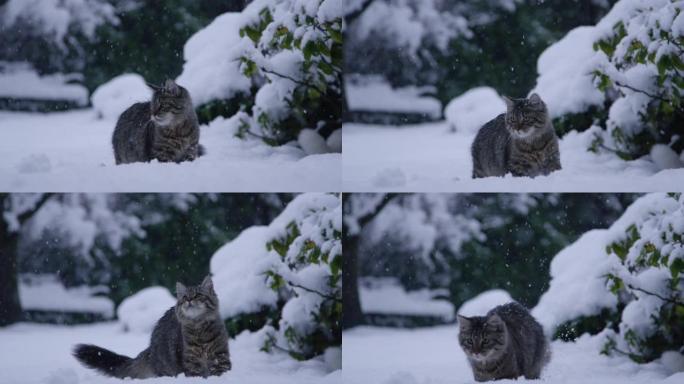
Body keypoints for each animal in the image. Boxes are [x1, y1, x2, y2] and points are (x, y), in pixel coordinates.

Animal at [74, 276, 231, 378]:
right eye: (185, 297)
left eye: (198, 295)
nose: (189, 300)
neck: (199, 329)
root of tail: (150, 348)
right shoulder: (191, 363)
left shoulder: (221, 357)